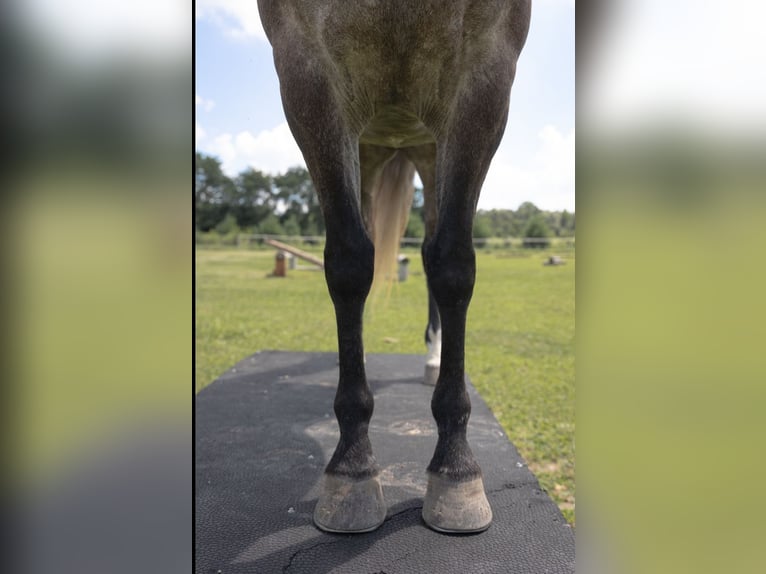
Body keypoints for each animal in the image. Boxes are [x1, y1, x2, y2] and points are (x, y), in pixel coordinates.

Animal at [257, 0, 531, 534]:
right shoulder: (306, 74)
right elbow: (348, 264)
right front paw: (352, 467)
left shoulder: (486, 74)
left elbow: (453, 266)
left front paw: (456, 470)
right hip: (366, 148)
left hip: (430, 148)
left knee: (430, 252)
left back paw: (432, 360)